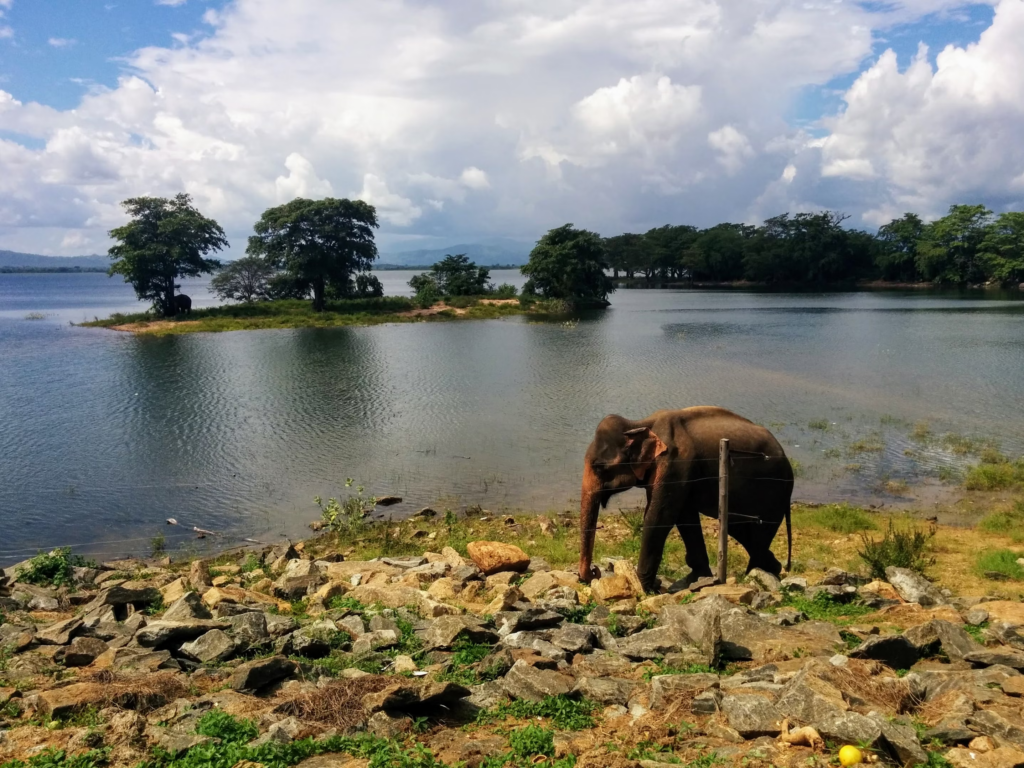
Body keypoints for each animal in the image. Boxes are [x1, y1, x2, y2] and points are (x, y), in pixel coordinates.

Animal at [581, 409, 794, 593]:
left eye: (599, 467)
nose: (594, 571)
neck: (640, 424)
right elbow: (685, 517)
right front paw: (696, 579)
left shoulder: (675, 464)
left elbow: (659, 517)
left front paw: (645, 587)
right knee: (745, 533)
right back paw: (772, 569)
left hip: (773, 492)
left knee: (757, 535)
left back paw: (757, 575)